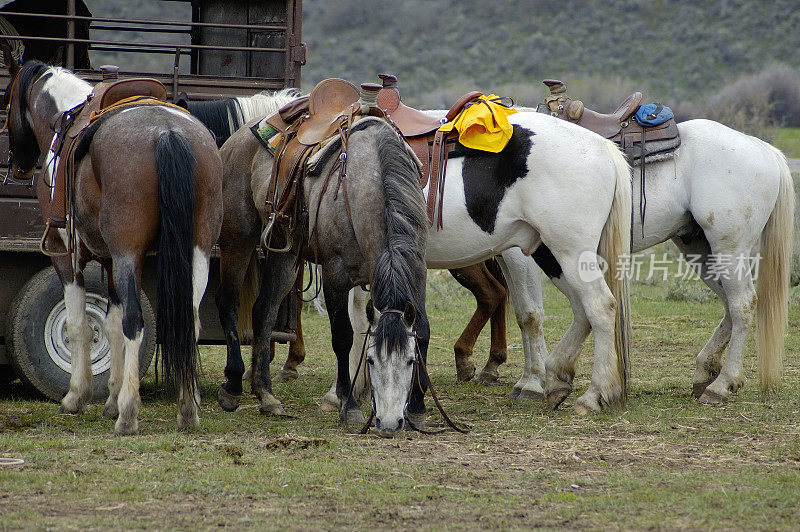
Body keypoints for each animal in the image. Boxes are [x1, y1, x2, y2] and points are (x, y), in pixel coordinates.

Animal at [3, 58, 222, 434]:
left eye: (7, 100)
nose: (18, 166)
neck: (64, 117)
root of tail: (168, 132)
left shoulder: (68, 256)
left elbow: (80, 325)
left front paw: (77, 397)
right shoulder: (110, 261)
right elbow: (111, 325)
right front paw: (110, 398)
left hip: (128, 252)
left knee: (135, 321)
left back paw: (129, 414)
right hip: (196, 252)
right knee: (188, 321)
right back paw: (187, 408)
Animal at [211, 101, 424, 436]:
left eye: (410, 361)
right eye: (371, 360)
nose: (389, 423)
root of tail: (237, 138)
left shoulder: (417, 272)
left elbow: (422, 331)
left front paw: (417, 410)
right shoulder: (336, 276)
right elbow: (343, 337)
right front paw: (348, 405)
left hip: (285, 253)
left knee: (264, 310)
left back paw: (266, 395)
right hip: (238, 240)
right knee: (229, 303)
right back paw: (232, 386)